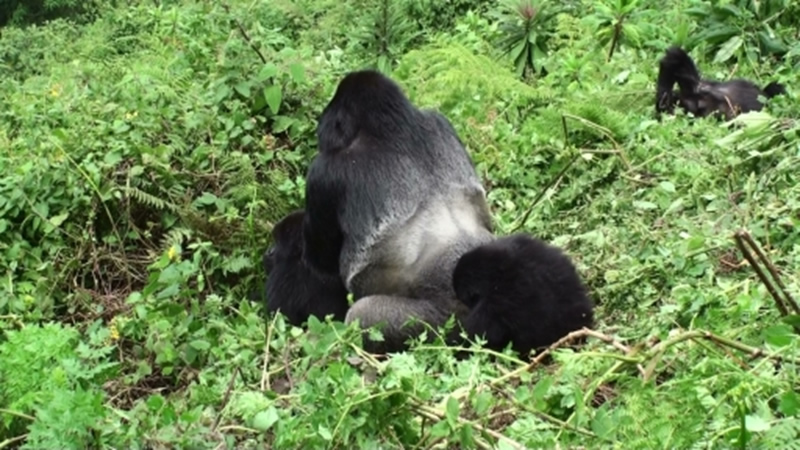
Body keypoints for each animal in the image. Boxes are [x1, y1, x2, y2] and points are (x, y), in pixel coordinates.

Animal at [304, 68, 496, 354]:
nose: (319, 131)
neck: (392, 123)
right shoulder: (440, 121)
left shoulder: (323, 173)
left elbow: (320, 264)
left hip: (448, 321)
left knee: (362, 315)